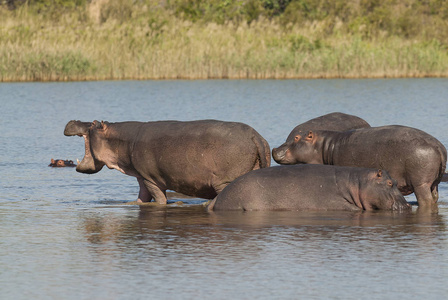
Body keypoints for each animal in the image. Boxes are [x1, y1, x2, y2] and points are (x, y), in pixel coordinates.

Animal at [65, 119, 272, 204]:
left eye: (92, 124)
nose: (73, 120)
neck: (119, 139)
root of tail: (256, 137)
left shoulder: (150, 178)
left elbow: (159, 199)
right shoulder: (140, 176)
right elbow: (140, 199)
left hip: (224, 182)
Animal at [272, 125, 446, 206]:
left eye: (296, 138)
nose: (274, 149)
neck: (324, 146)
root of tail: (439, 146)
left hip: (421, 184)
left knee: (426, 201)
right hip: (434, 183)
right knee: (434, 197)